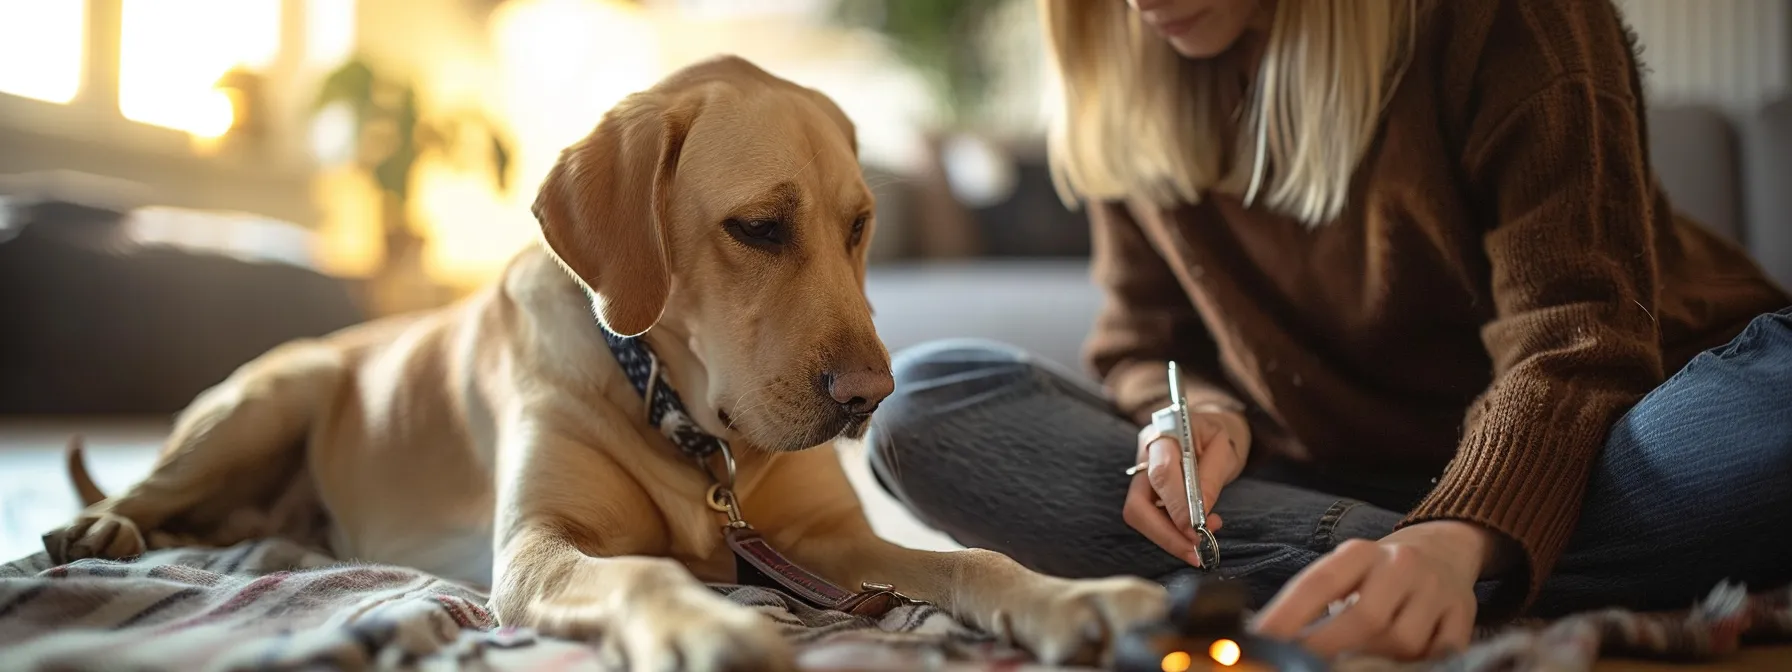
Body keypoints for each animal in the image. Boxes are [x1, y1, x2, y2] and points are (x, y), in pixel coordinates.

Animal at [42, 55, 1168, 670]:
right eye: (757, 228)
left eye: (860, 228)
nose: (870, 397)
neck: (681, 419)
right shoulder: (538, 547)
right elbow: (638, 574)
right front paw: (698, 625)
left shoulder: (827, 543)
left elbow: (969, 560)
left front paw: (1075, 599)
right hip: (281, 390)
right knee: (155, 485)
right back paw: (106, 528)